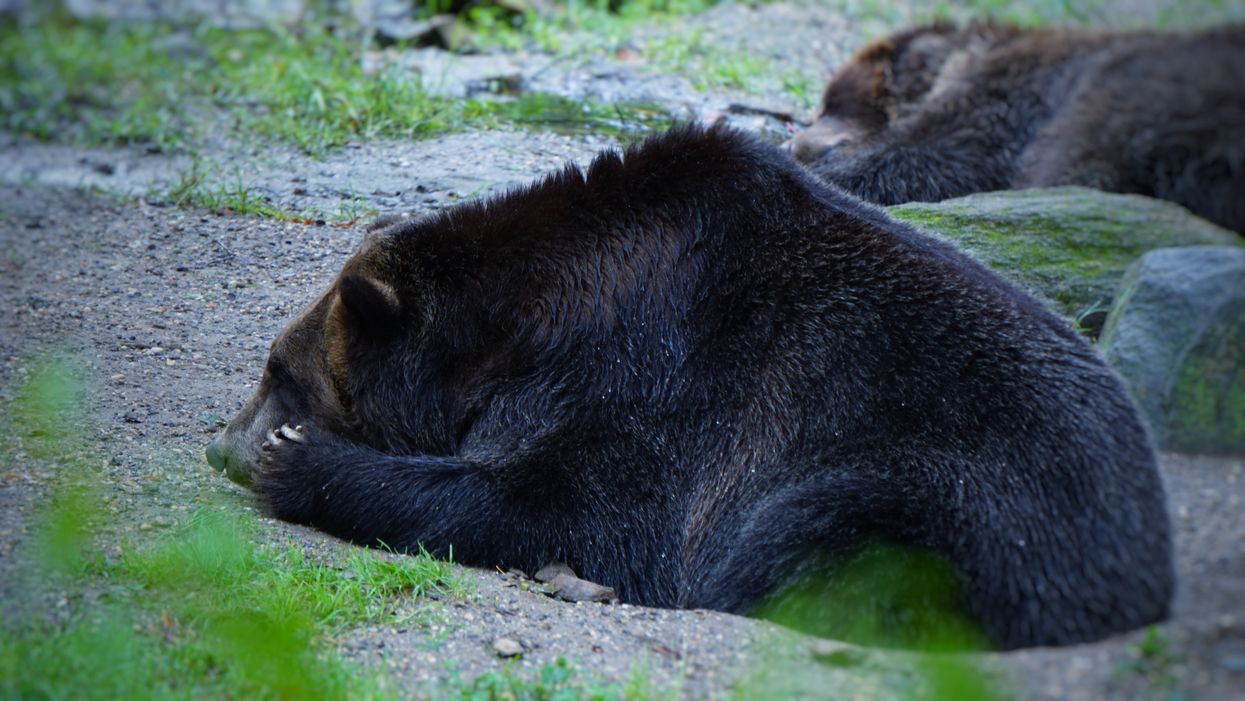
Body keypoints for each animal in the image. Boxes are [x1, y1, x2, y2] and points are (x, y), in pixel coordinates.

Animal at [205, 124, 1173, 651]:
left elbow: (568, 501)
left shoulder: (661, 372)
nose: (222, 444)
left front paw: (300, 459)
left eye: (277, 371)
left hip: (968, 502)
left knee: (809, 537)